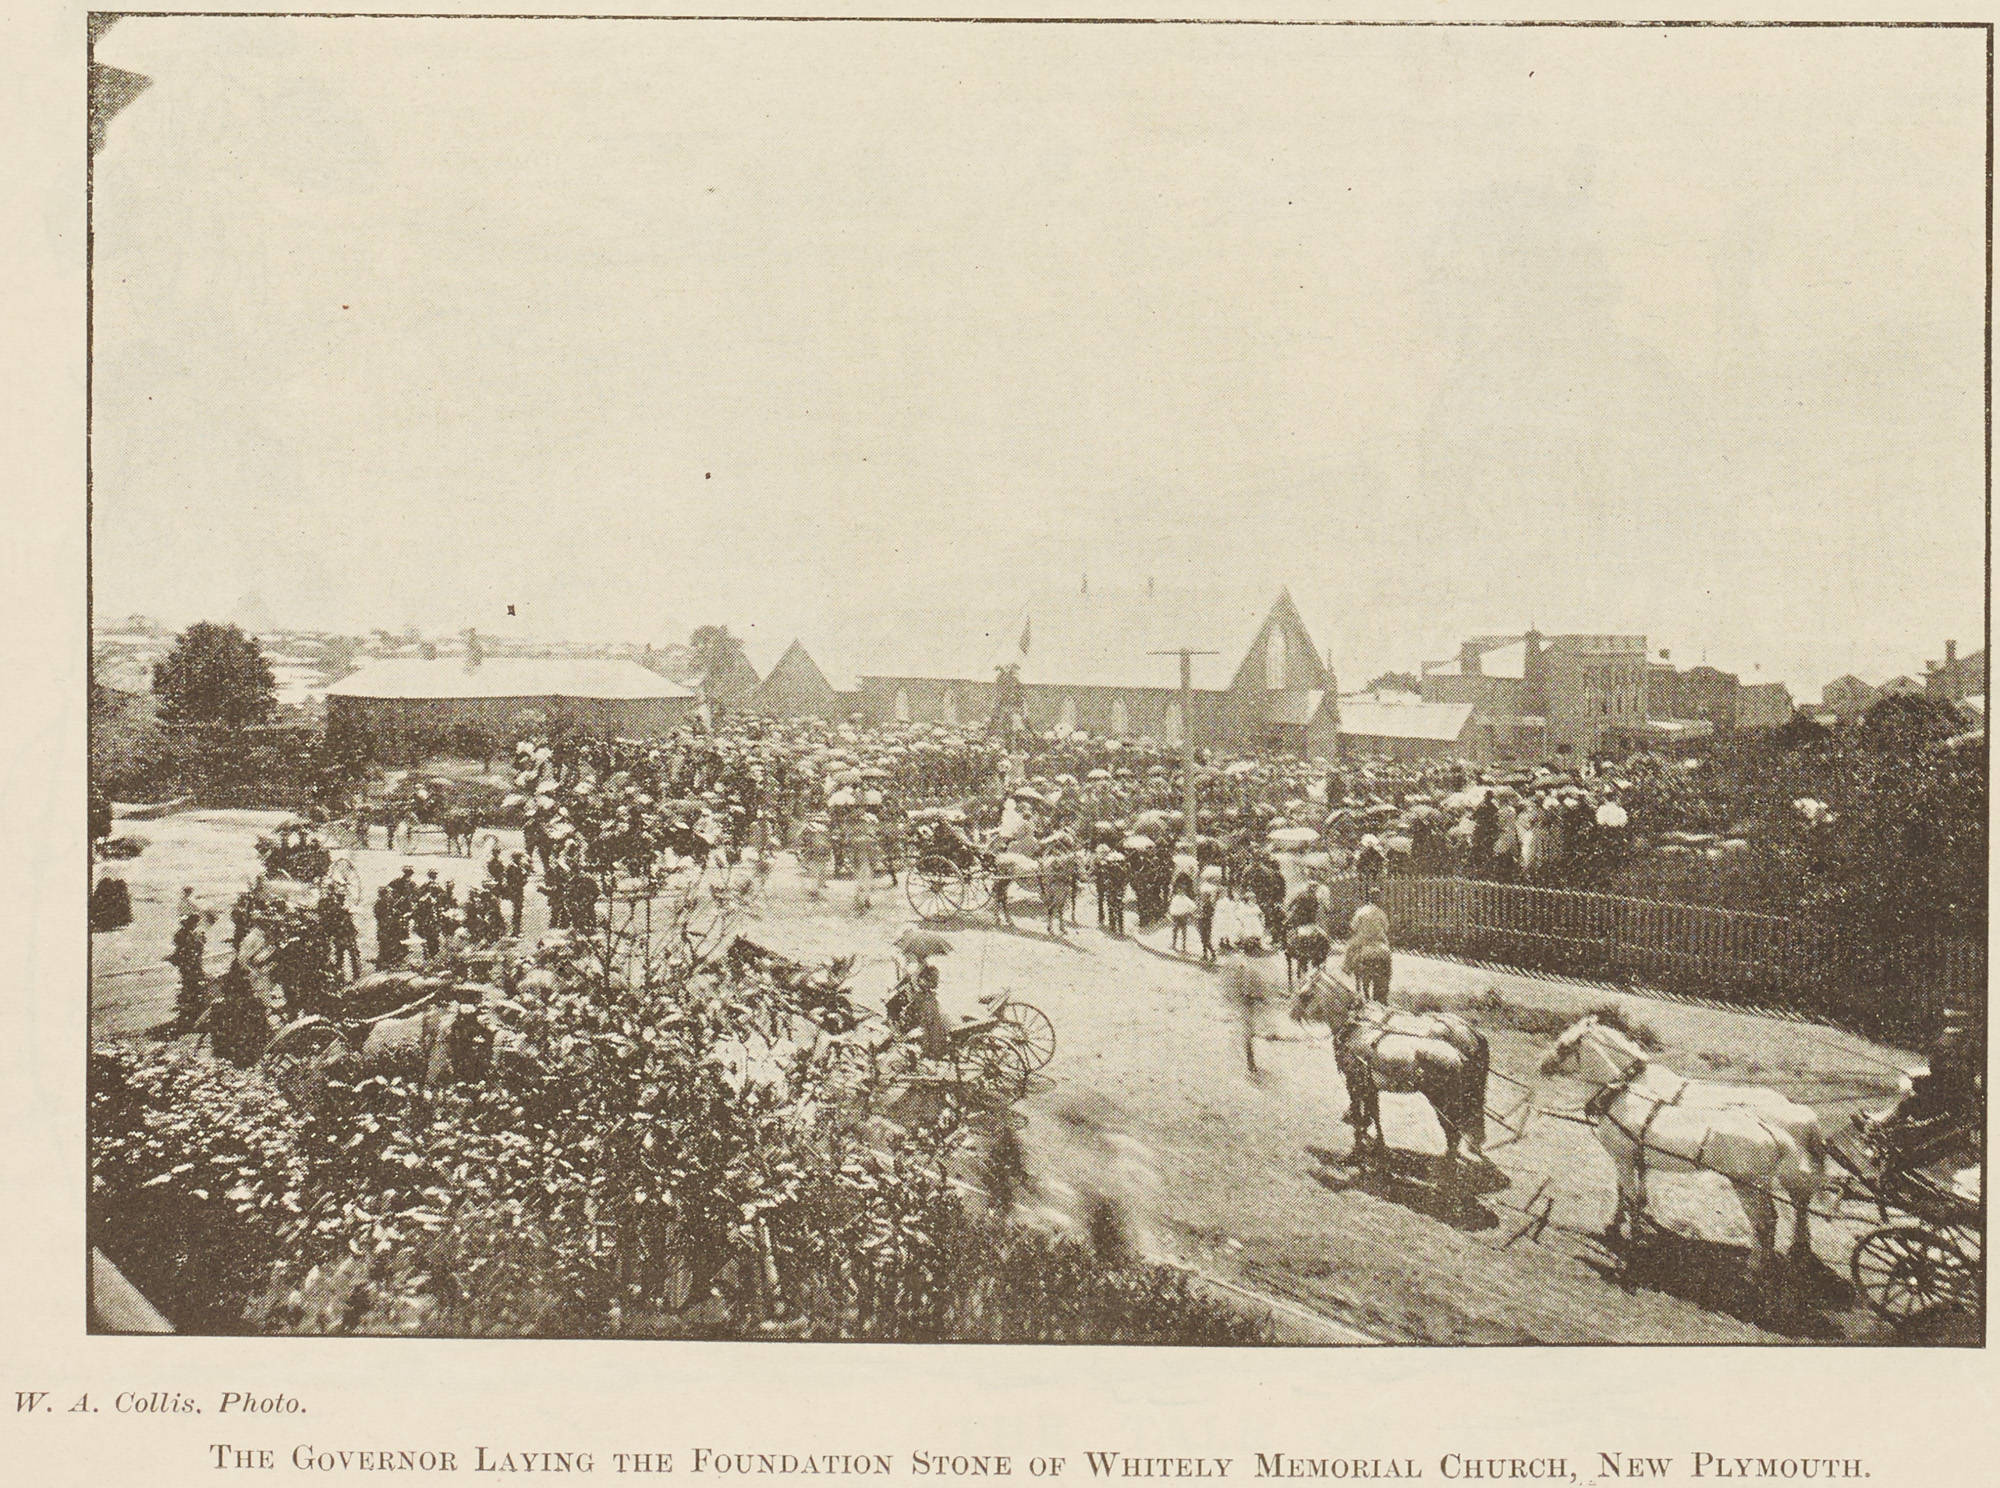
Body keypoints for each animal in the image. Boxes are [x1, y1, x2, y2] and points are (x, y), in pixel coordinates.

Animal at [1544, 1016, 1832, 1272]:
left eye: (1563, 1044)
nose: (1542, 1066)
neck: (1631, 1087)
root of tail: (1802, 1112)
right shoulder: (1640, 1155)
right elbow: (1635, 1193)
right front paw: (1632, 1221)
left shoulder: (1624, 1155)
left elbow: (1625, 1191)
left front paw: (1621, 1228)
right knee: (1794, 1209)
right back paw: (1791, 1254)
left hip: (1761, 1181)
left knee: (1781, 1214)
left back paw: (1771, 1261)